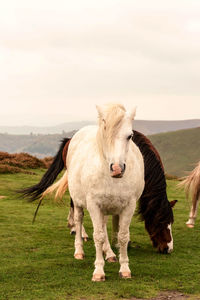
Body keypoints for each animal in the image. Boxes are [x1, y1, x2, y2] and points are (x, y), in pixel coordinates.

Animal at [19, 131, 177, 253]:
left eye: (171, 222)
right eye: (161, 221)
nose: (168, 249)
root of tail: (69, 140)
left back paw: (72, 226)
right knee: (75, 203)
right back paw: (80, 232)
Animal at [43, 103, 145, 282]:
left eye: (130, 136)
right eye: (105, 134)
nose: (117, 168)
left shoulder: (128, 206)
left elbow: (123, 236)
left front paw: (125, 269)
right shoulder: (94, 205)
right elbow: (98, 236)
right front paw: (98, 272)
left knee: (103, 226)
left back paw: (110, 254)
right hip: (78, 202)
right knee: (78, 220)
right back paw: (79, 251)